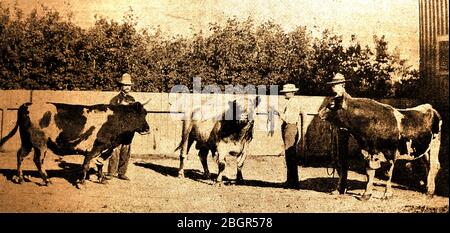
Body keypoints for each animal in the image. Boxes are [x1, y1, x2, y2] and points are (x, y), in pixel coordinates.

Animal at [0, 101, 151, 187]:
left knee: (20, 155)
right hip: (40, 143)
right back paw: (46, 180)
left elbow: (99, 164)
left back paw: (20, 178)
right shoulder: (95, 148)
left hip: (27, 141)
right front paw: (82, 182)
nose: (147, 129)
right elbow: (86, 165)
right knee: (37, 160)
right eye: (140, 115)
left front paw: (102, 179)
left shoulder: (105, 149)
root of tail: (27, 104)